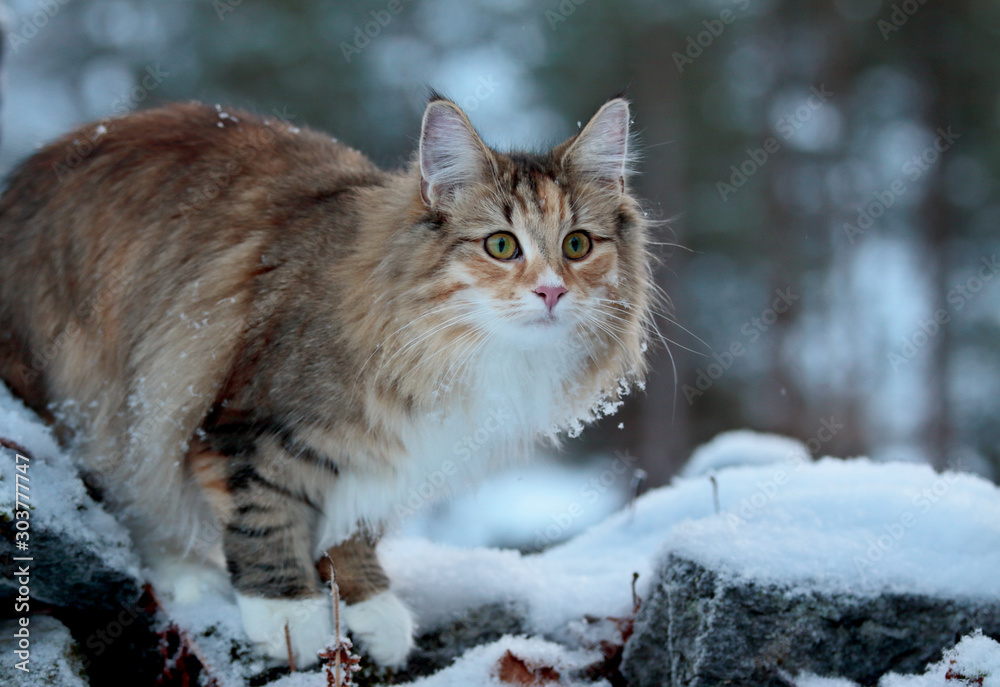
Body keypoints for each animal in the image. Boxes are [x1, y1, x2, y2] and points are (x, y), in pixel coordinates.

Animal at [0, 94, 656, 668]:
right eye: (501, 245)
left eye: (577, 245)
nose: (552, 291)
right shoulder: (247, 424)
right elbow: (265, 514)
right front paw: (288, 614)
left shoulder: (388, 454)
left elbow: (353, 529)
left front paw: (366, 602)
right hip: (97, 395)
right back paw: (187, 575)